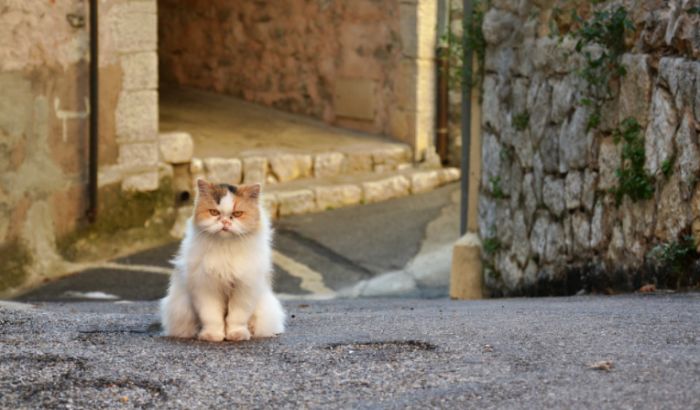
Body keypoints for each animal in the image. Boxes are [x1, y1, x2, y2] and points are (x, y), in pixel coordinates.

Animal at [161, 178, 284, 342]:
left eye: (237, 214)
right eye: (214, 213)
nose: (225, 222)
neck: (225, 247)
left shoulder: (244, 288)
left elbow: (236, 317)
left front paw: (236, 334)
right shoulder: (206, 287)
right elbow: (212, 317)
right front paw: (212, 335)